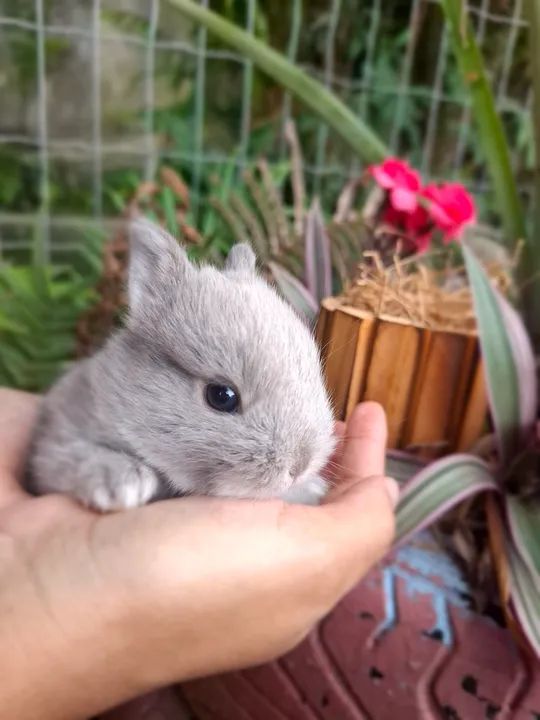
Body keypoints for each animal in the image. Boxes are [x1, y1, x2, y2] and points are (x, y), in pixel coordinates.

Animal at [25, 219, 336, 511]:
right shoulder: (57, 443)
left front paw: (312, 489)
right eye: (221, 396)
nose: (300, 466)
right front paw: (125, 485)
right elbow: (74, 456)